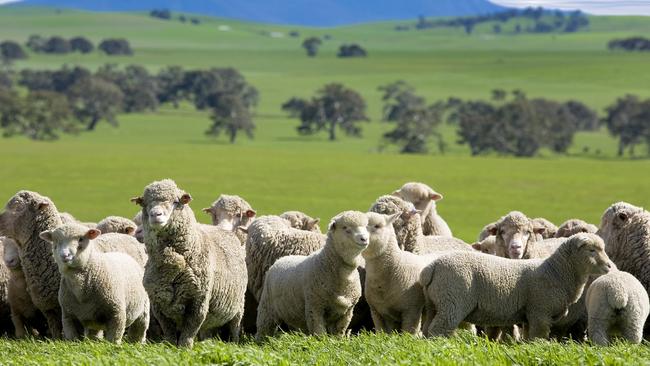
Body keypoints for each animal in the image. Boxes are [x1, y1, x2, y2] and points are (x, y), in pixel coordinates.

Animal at [130, 179, 247, 348]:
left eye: (175, 201)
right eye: (144, 204)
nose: (155, 214)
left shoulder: (198, 302)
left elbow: (189, 333)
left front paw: (185, 349)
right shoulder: (159, 305)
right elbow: (170, 334)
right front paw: (170, 347)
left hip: (238, 307)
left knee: (234, 329)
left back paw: (233, 344)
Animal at [256, 210, 370, 338]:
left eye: (366, 227)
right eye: (346, 228)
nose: (364, 239)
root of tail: (281, 259)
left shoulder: (347, 312)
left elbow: (339, 333)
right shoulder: (314, 307)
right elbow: (319, 333)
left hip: (292, 312)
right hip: (267, 309)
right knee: (263, 329)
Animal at [418, 233, 612, 338]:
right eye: (592, 250)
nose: (609, 266)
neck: (556, 271)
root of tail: (431, 267)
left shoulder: (530, 316)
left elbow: (528, 338)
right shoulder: (540, 312)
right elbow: (539, 337)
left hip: (434, 304)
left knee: (427, 329)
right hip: (453, 301)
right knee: (439, 329)